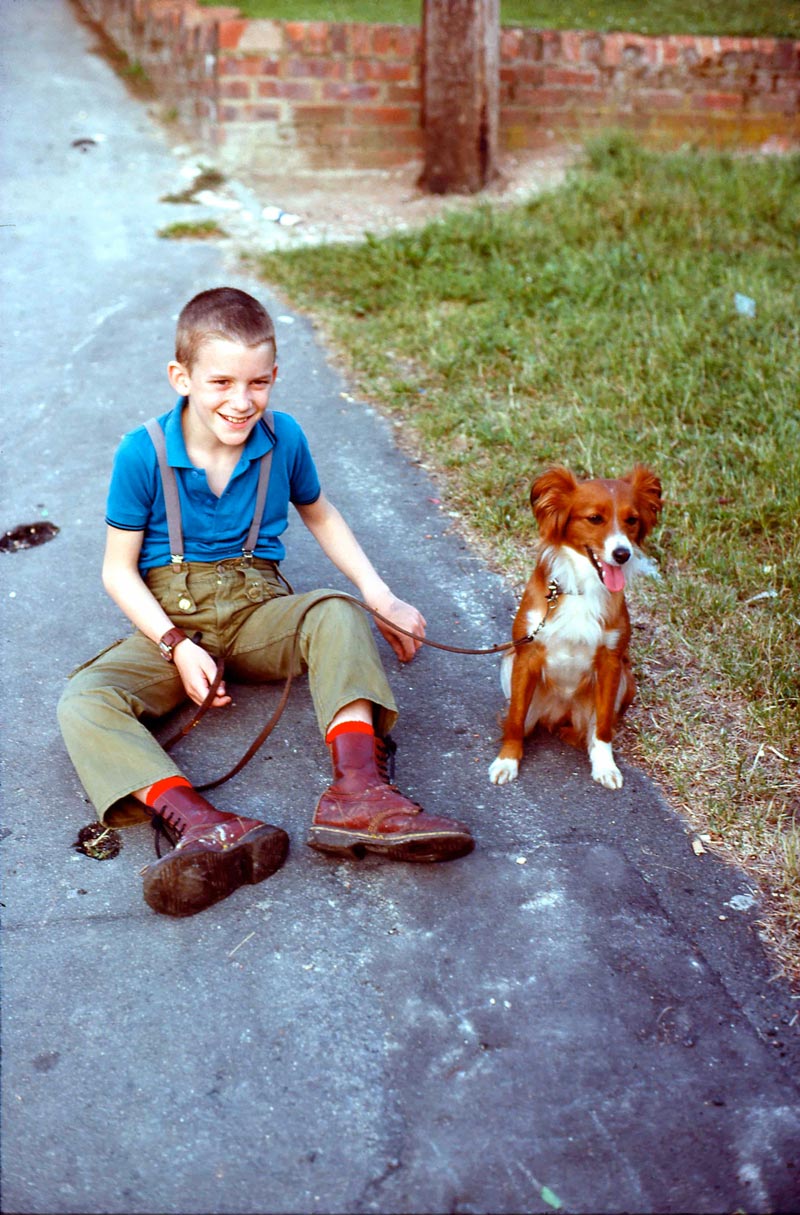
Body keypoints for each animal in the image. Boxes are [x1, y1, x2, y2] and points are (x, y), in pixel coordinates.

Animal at [486, 461, 661, 787]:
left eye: (631, 520)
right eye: (594, 519)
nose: (622, 554)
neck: (582, 587)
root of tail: (560, 713)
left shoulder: (610, 661)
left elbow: (603, 726)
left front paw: (605, 766)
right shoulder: (526, 655)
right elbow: (515, 718)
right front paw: (507, 760)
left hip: (625, 678)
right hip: (509, 659)